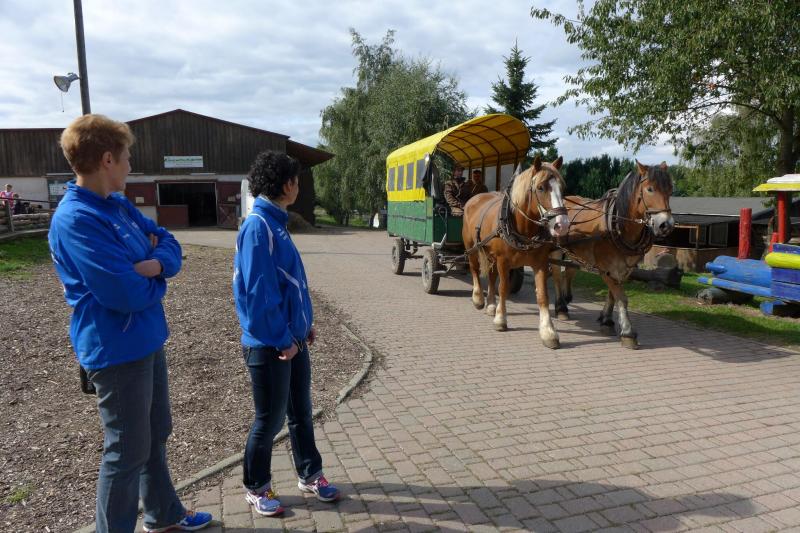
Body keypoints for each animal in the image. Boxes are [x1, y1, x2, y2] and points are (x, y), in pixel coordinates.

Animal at [462, 155, 571, 349]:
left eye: (562, 187)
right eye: (541, 187)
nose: (562, 225)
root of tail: (474, 198)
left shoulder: (540, 263)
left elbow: (542, 295)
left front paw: (548, 331)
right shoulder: (503, 262)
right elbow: (504, 288)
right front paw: (501, 319)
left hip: (490, 254)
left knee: (491, 277)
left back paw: (491, 305)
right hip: (471, 247)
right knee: (474, 269)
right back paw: (478, 298)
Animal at [550, 161, 675, 349]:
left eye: (670, 190)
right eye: (650, 189)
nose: (666, 225)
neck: (619, 225)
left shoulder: (625, 268)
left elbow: (613, 295)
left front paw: (607, 321)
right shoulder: (605, 268)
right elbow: (621, 297)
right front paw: (628, 333)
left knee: (569, 271)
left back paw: (566, 298)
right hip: (556, 250)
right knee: (557, 275)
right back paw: (561, 308)